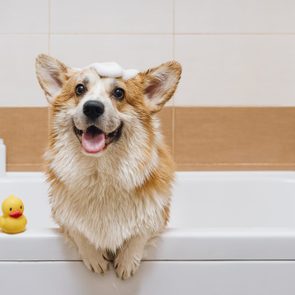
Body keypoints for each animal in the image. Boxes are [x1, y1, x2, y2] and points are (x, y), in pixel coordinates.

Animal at [35, 55, 182, 280]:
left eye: (119, 93)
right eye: (79, 89)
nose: (92, 107)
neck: (101, 173)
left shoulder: (158, 214)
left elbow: (141, 230)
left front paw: (127, 261)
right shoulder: (62, 215)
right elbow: (77, 229)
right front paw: (95, 258)